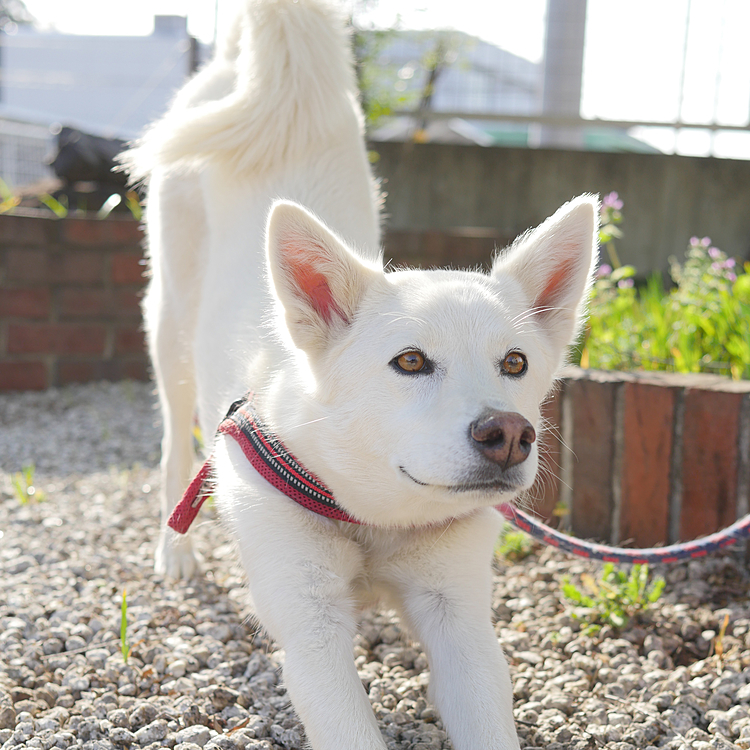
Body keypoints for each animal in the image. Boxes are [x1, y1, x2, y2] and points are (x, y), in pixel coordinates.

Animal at [128, 1, 600, 750]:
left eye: (515, 363)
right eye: (410, 361)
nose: (508, 434)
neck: (375, 517)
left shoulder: (460, 620)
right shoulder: (311, 628)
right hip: (168, 328)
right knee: (176, 440)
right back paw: (174, 550)